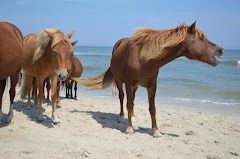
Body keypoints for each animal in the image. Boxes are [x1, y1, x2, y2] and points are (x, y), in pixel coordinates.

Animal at [73, 21, 225, 137]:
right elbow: (128, 104)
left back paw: (133, 117)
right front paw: (129, 128)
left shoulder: (152, 86)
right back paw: (122, 117)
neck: (143, 59)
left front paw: (156, 131)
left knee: (132, 100)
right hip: (120, 81)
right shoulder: (129, 84)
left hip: (135, 87)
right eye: (202, 39)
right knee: (122, 98)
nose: (220, 50)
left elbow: (152, 108)